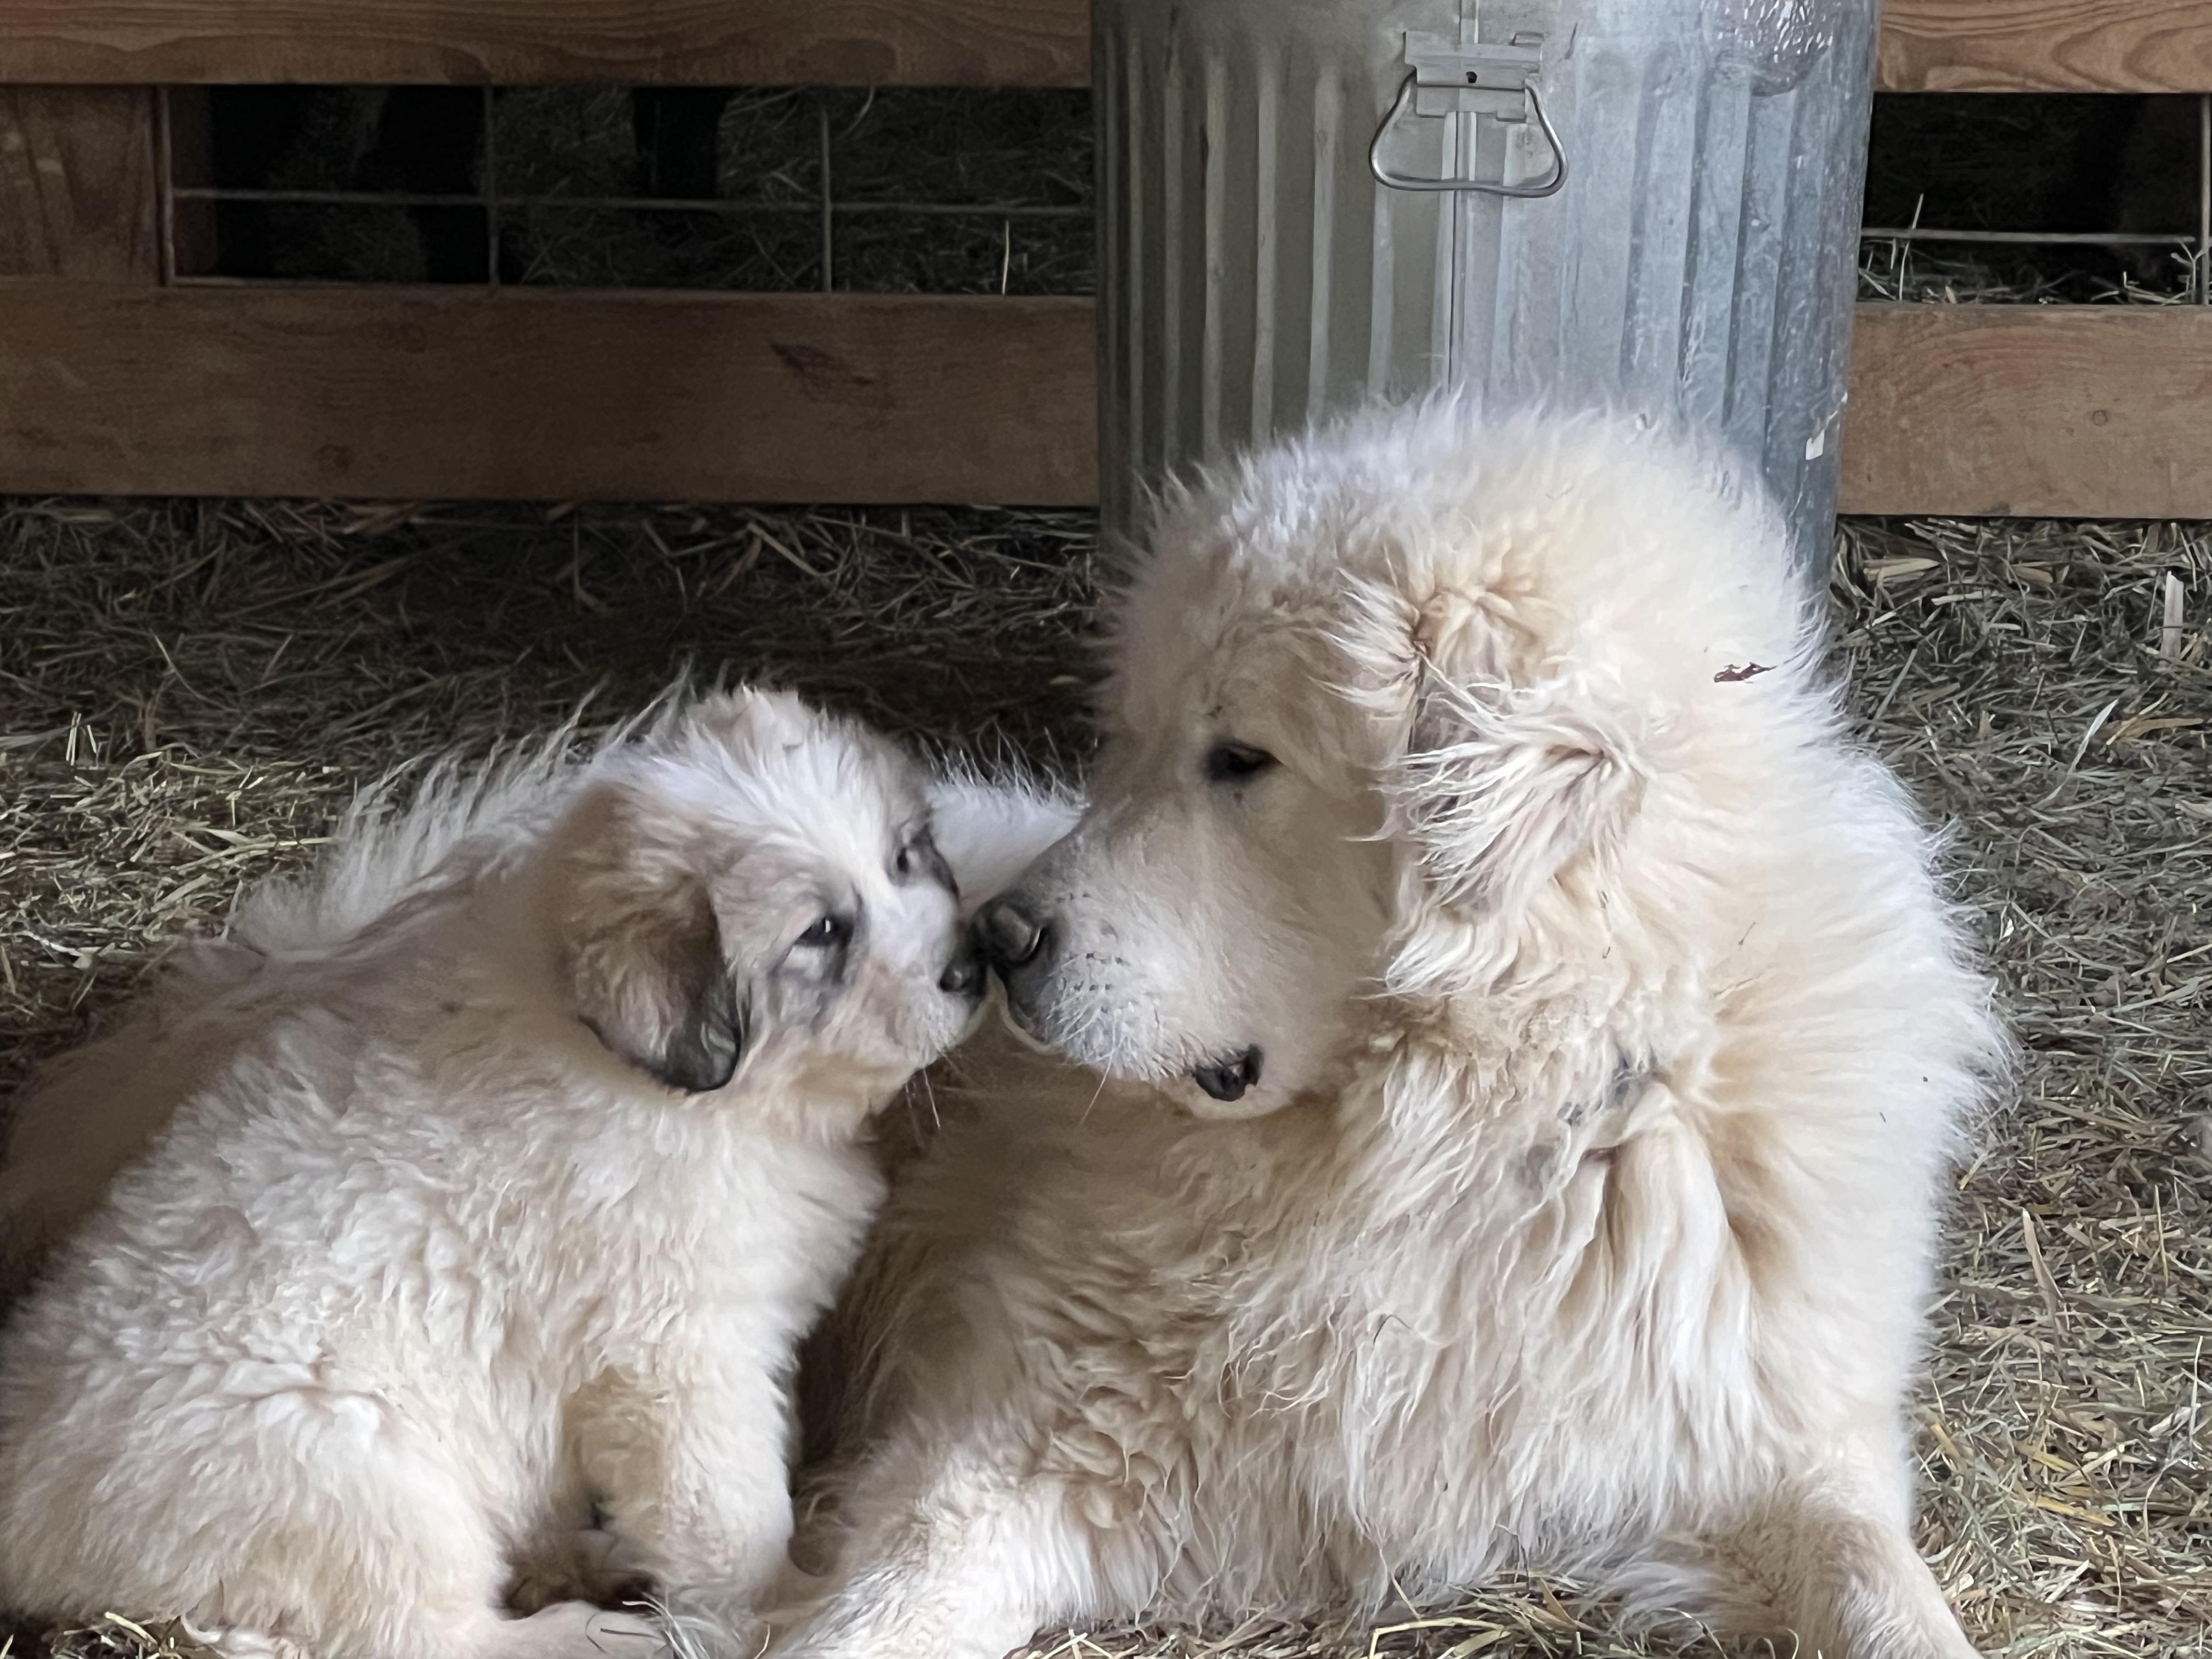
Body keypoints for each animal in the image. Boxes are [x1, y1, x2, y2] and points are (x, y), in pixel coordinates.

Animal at [0, 688, 1071, 1659]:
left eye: (906, 856)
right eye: (823, 933)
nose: (971, 966)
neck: (683, 1091)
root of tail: (25, 1502)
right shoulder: (682, 1365)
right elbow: (733, 1516)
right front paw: (771, 1605)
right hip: (367, 1491)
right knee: (439, 1636)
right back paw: (613, 1632)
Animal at [774, 403, 2006, 1659]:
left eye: (1240, 759)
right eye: (1130, 739)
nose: (997, 937)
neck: (1457, 1151)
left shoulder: (1770, 1438)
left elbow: (1882, 1586)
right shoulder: (1024, 1436)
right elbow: (875, 1615)